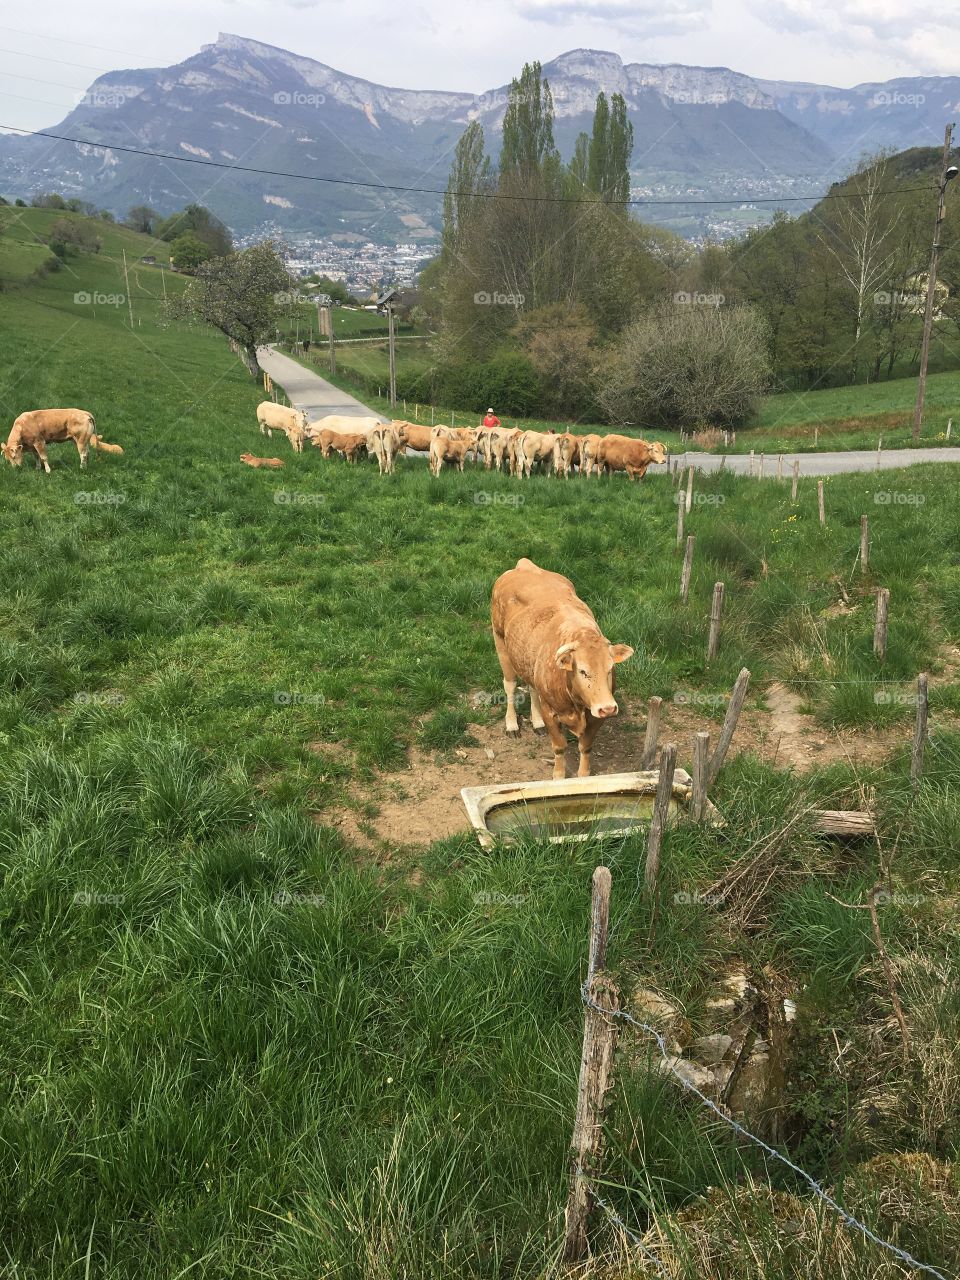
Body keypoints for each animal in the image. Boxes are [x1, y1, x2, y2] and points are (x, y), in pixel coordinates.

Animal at [491, 558, 634, 779]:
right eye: (582, 671)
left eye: (610, 669)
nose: (608, 708)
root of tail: (525, 565)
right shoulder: (551, 712)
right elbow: (559, 747)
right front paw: (558, 775)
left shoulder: (595, 719)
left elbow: (585, 747)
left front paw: (583, 774)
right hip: (501, 645)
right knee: (510, 686)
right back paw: (512, 724)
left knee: (532, 688)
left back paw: (537, 722)